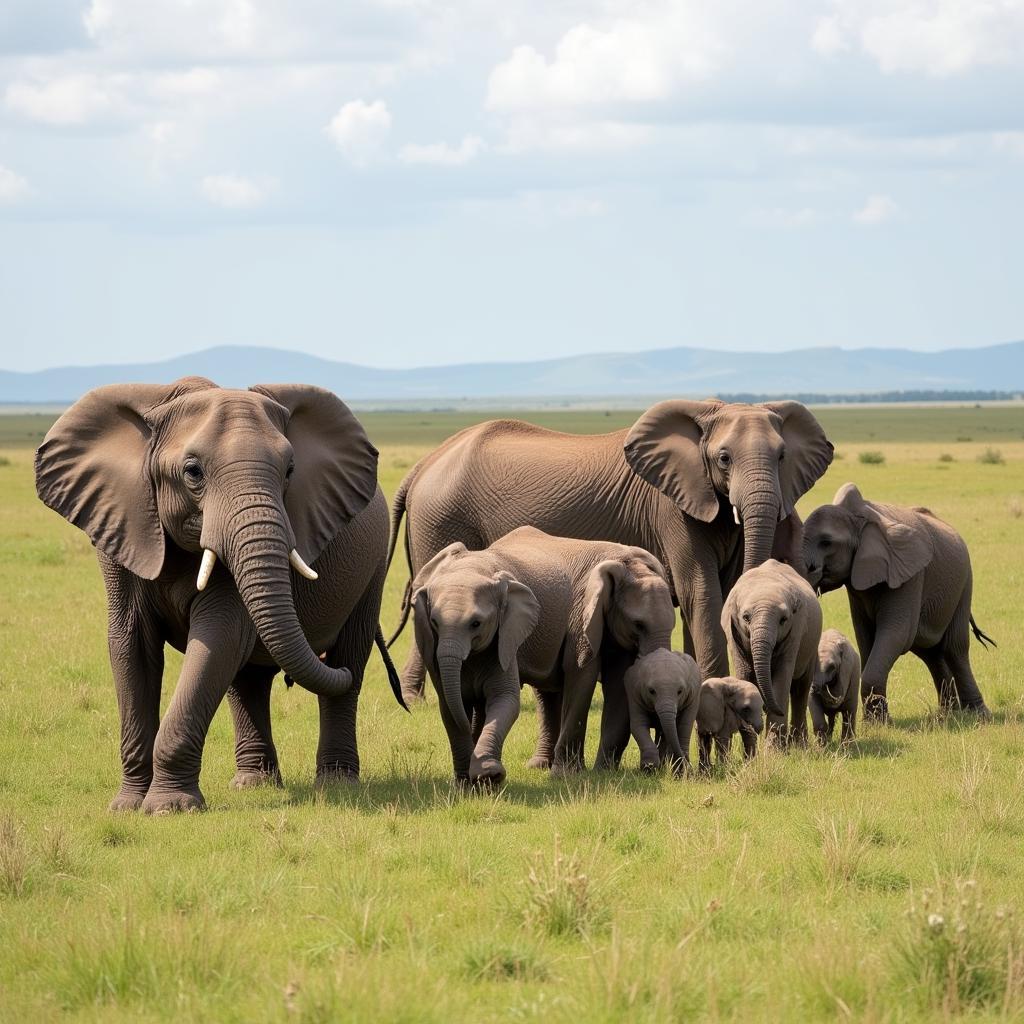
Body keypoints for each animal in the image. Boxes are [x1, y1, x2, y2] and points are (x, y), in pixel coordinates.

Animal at [36, 376, 403, 815]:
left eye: (290, 471)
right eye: (192, 471)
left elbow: (218, 634)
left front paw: (169, 809)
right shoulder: (122, 522)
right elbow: (131, 644)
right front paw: (127, 807)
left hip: (372, 569)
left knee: (349, 657)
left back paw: (335, 782)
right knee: (248, 680)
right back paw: (254, 784)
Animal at [389, 395, 831, 700]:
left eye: (782, 456)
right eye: (723, 459)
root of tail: (422, 465)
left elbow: (714, 592)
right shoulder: (669, 509)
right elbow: (701, 593)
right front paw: (713, 685)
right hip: (441, 517)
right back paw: (419, 700)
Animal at [403, 524, 675, 778]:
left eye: (673, 625)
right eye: (638, 624)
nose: (657, 767)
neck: (625, 562)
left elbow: (614, 682)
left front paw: (599, 773)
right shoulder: (580, 618)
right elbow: (582, 675)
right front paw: (567, 775)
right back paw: (541, 766)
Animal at [720, 561, 823, 745]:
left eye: (783, 620)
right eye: (746, 618)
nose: (766, 707)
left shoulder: (796, 631)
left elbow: (782, 678)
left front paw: (775, 749)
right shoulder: (733, 633)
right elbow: (745, 674)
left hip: (812, 646)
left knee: (800, 688)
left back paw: (799, 745)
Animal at [802, 483, 995, 724]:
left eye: (826, 542)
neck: (858, 518)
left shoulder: (909, 576)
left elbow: (896, 633)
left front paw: (878, 724)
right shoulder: (857, 587)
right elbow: (866, 638)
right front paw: (873, 721)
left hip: (964, 582)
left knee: (954, 647)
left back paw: (977, 715)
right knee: (930, 652)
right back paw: (948, 713)